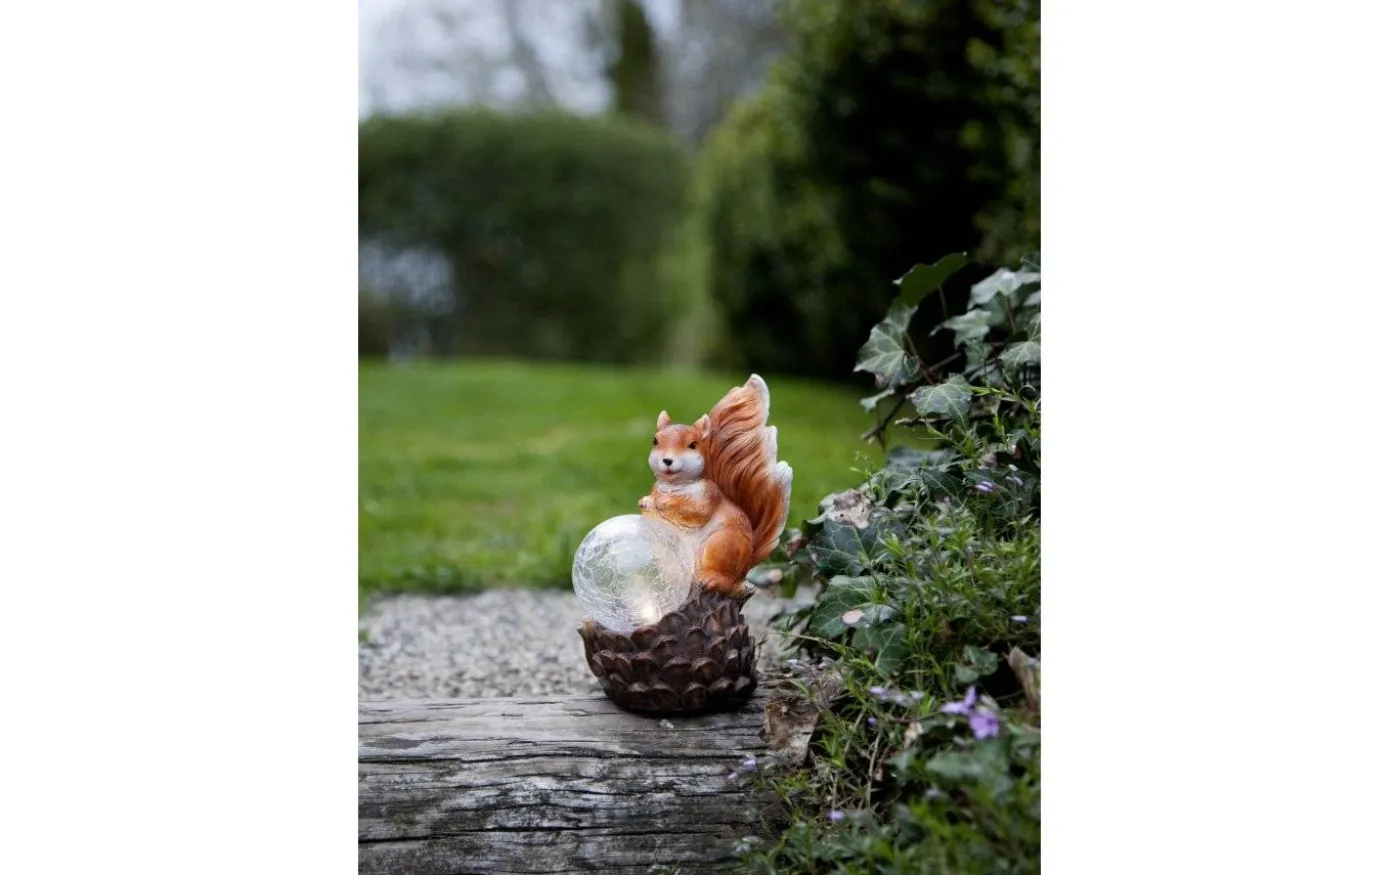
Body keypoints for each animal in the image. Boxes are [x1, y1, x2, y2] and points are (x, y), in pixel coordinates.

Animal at [638, 374, 794, 598]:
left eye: (693, 445)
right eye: (655, 441)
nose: (667, 460)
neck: (676, 487)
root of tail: (744, 572)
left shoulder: (708, 496)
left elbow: (693, 511)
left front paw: (662, 502)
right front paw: (646, 501)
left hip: (722, 545)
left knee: (724, 581)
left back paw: (712, 580)